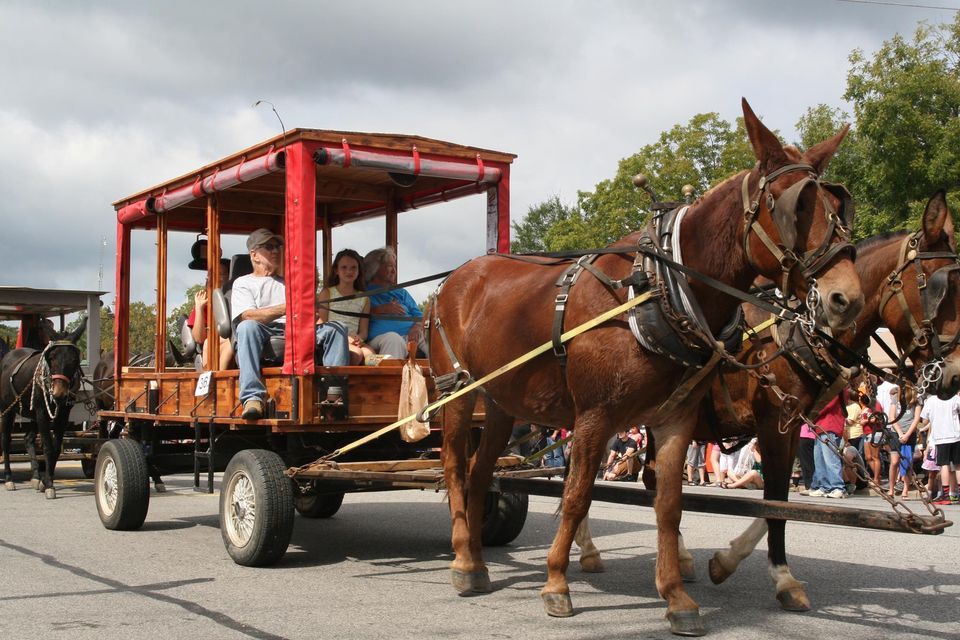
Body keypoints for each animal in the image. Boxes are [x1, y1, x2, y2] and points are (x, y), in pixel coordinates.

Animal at [428, 100, 864, 636]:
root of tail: (455, 278)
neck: (658, 289)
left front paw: (676, 595)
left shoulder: (674, 417)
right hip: (458, 391)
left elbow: (669, 504)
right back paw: (464, 562)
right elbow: (577, 495)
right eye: (793, 207)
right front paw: (556, 583)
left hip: (502, 403)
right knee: (454, 466)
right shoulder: (595, 417)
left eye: (836, 208)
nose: (846, 298)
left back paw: (477, 558)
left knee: (480, 469)